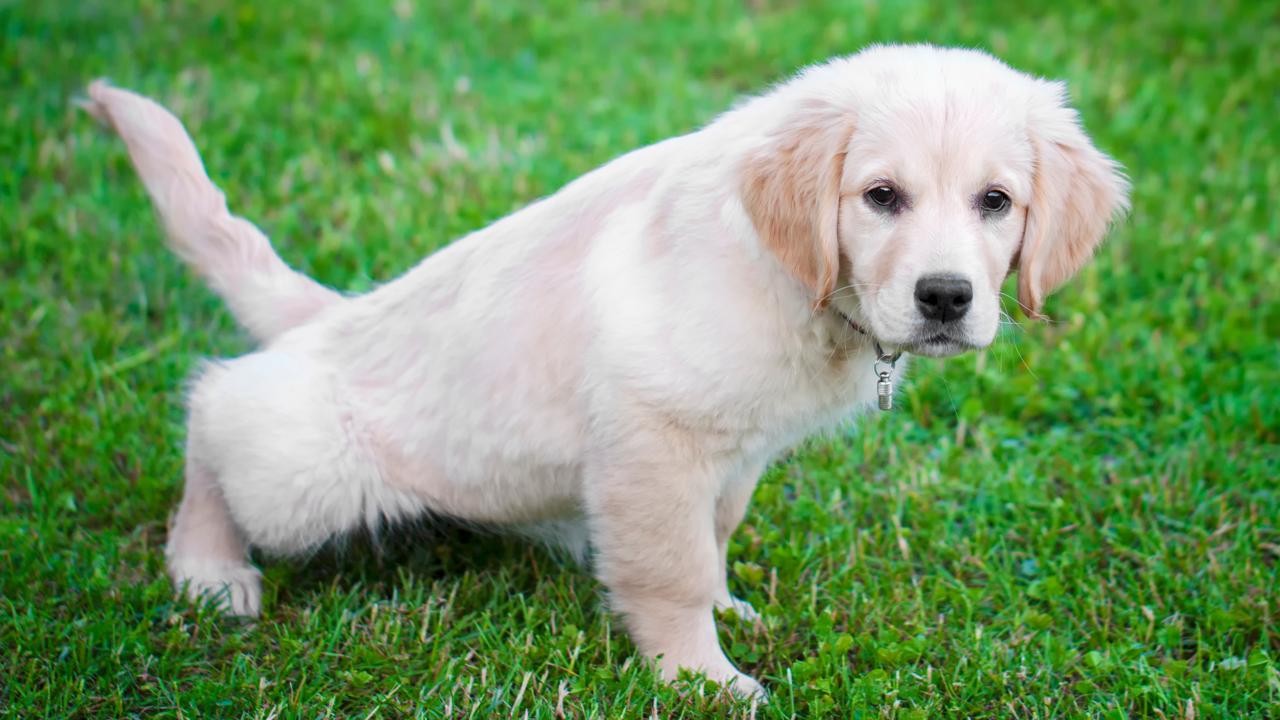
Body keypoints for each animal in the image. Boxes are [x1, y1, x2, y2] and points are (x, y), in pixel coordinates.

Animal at [80, 44, 1126, 696]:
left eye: (996, 202)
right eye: (881, 196)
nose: (947, 297)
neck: (796, 280)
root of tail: (327, 318)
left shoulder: (732, 451)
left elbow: (713, 536)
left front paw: (728, 609)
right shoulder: (651, 434)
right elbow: (668, 567)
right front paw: (701, 678)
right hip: (311, 468)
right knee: (215, 409)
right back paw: (208, 568)